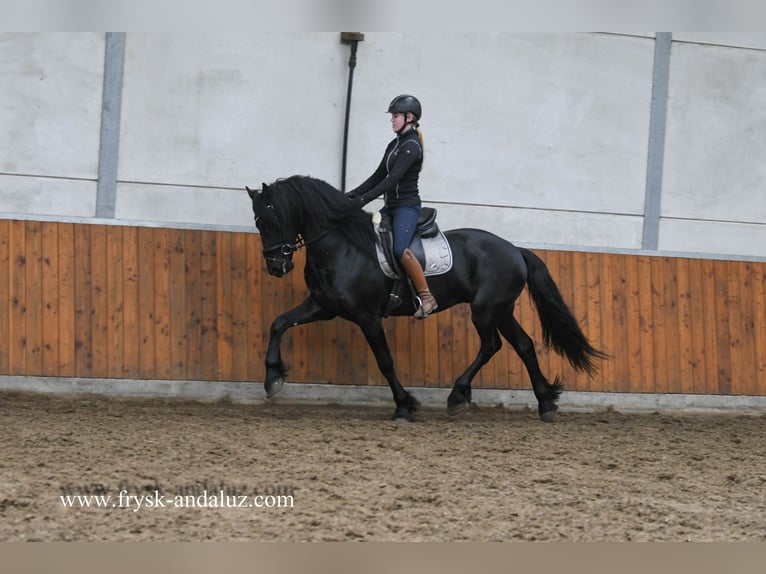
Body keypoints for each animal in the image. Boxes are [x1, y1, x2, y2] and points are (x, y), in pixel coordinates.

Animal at [249, 176, 608, 424]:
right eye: (258, 223)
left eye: (271, 220)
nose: (276, 267)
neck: (342, 246)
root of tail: (514, 249)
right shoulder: (324, 307)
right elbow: (278, 323)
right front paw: (273, 378)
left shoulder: (367, 317)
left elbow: (385, 361)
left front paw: (404, 405)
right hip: (502, 310)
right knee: (524, 345)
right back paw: (545, 403)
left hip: (485, 310)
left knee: (491, 345)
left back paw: (458, 395)